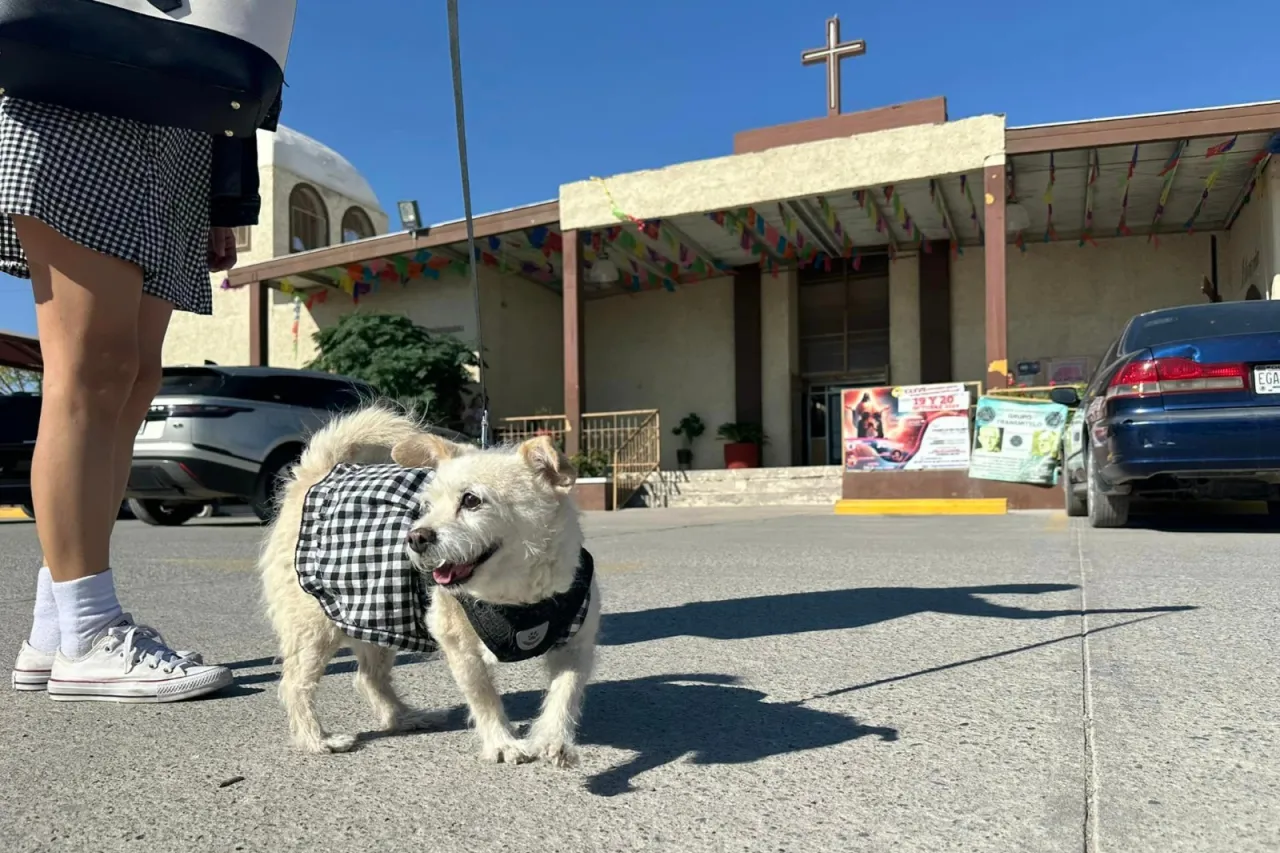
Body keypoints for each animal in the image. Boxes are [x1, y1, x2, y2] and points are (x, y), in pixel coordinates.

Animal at [259, 404, 604, 763]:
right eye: (427, 505)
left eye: (471, 500)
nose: (415, 537)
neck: (513, 597)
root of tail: (317, 475)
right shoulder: (459, 646)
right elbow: (483, 697)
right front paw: (502, 742)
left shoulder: (576, 643)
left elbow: (565, 692)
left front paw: (553, 740)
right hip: (314, 629)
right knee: (295, 684)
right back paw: (315, 739)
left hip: (375, 616)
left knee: (369, 677)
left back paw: (403, 717)